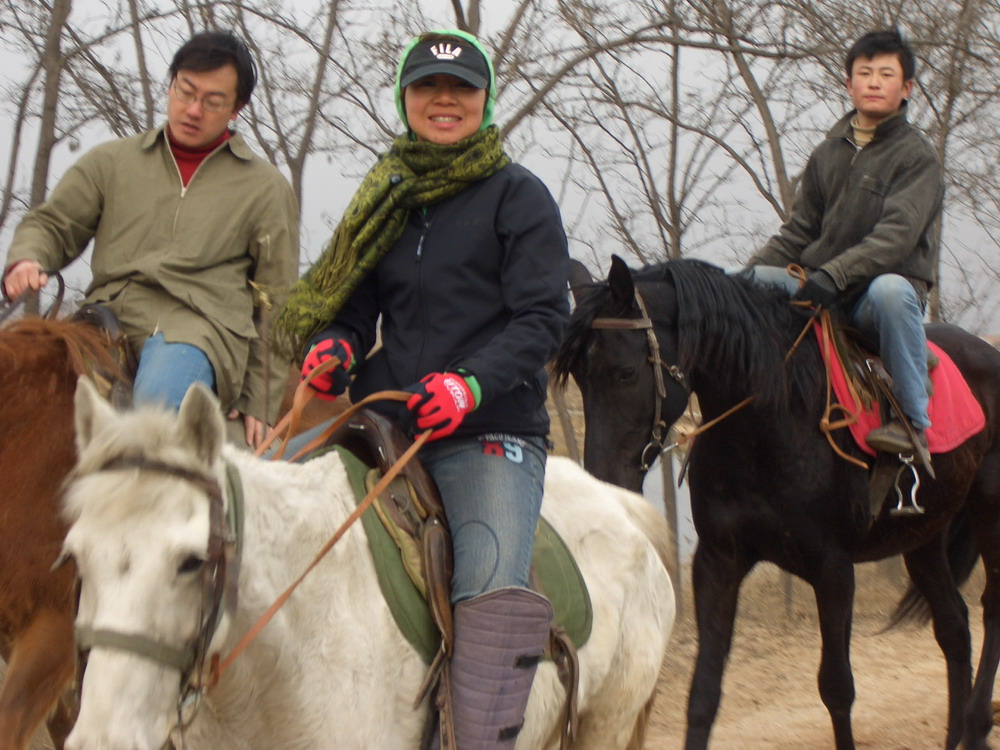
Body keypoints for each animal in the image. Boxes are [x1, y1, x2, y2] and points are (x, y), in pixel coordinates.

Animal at [552, 258, 1000, 750]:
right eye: (580, 379)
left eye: (626, 372)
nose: (603, 479)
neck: (772, 416)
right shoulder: (718, 563)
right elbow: (703, 693)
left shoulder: (833, 569)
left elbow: (837, 688)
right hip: (922, 537)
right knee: (954, 627)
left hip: (989, 509)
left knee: (991, 607)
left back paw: (978, 722)